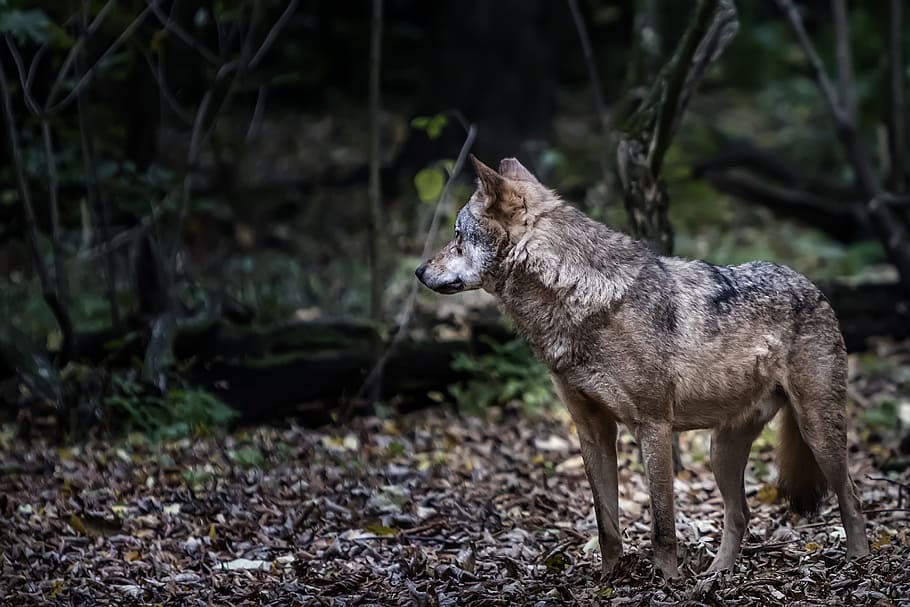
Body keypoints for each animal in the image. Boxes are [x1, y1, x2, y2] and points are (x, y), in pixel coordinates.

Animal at [415, 156, 869, 578]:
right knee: (741, 514)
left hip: (817, 431)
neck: (577, 299)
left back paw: (859, 563)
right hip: (720, 451)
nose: (419, 271)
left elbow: (662, 526)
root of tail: (812, 286)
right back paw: (717, 575)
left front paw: (667, 581)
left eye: (457, 236)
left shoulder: (653, 426)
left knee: (850, 496)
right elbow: (607, 525)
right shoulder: (593, 430)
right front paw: (609, 579)